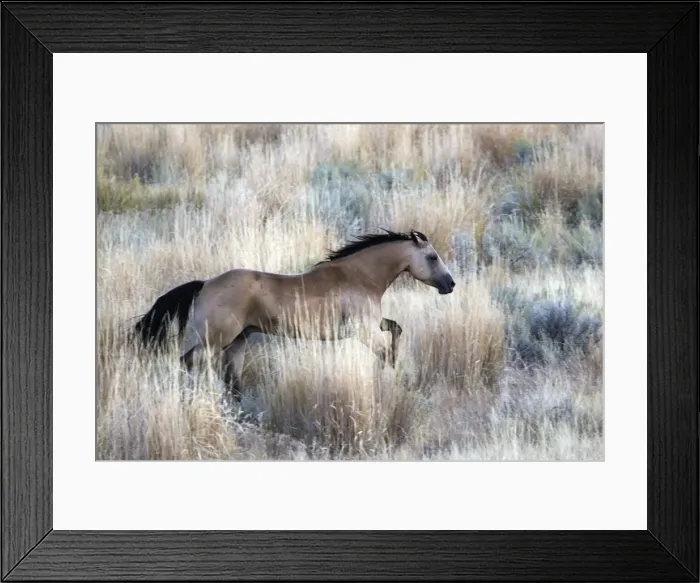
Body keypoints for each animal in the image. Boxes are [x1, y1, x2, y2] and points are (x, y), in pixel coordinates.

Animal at [133, 229, 456, 401]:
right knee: (187, 362)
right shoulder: (363, 331)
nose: (450, 284)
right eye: (432, 257)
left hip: (238, 340)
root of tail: (205, 285)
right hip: (216, 340)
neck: (359, 277)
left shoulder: (373, 324)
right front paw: (390, 379)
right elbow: (386, 352)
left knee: (231, 378)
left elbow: (396, 329)